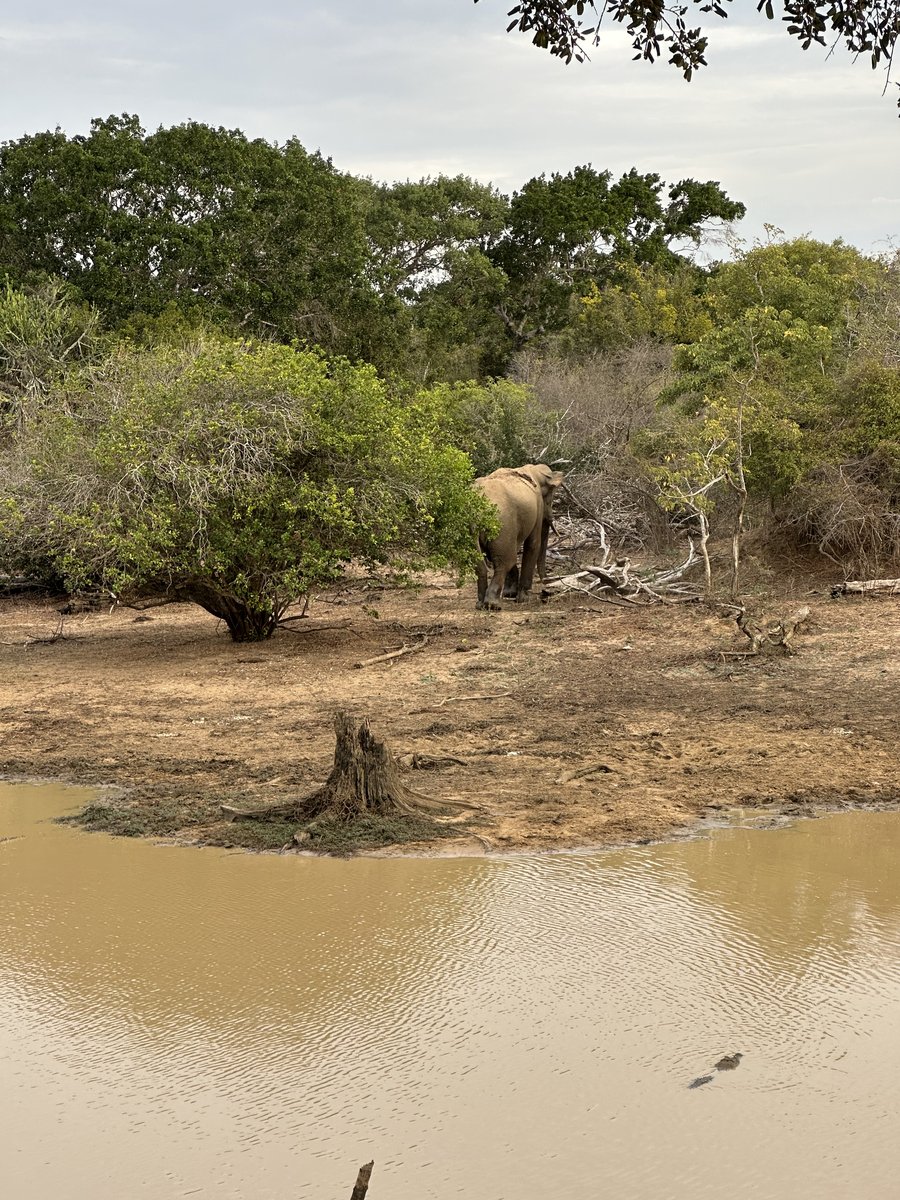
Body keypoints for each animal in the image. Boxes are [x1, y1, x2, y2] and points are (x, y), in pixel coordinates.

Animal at [473, 463, 565, 610]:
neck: (534, 469)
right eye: (549, 501)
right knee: (504, 562)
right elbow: (533, 544)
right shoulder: (538, 505)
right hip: (503, 525)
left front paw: (510, 594)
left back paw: (480, 605)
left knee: (480, 563)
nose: (547, 589)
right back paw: (493, 605)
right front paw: (523, 599)